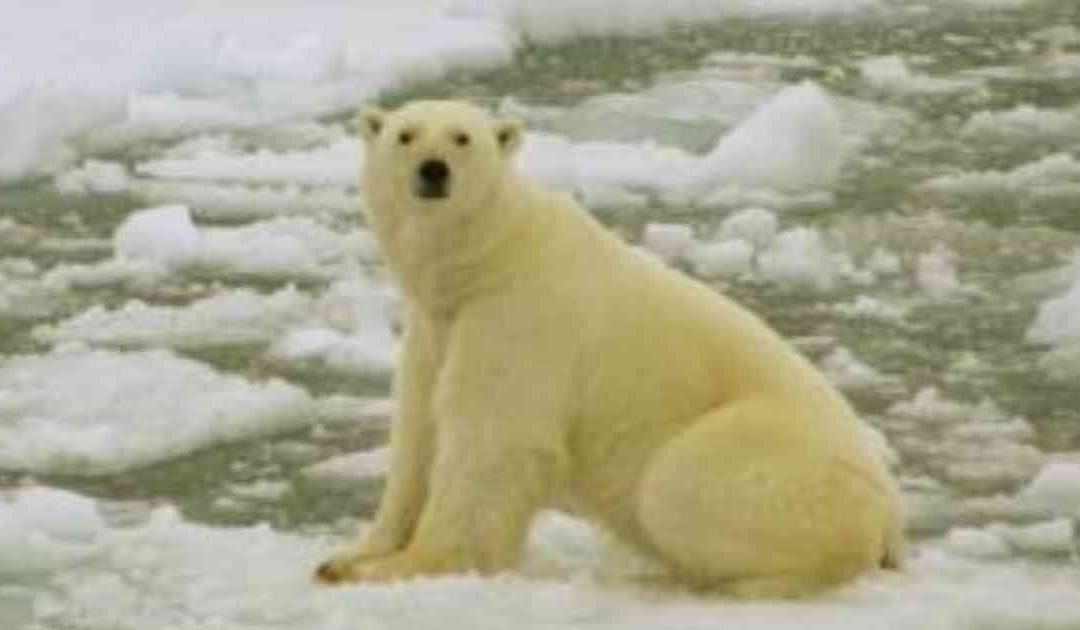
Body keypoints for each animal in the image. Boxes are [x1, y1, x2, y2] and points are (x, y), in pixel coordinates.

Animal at [315, 100, 904, 597]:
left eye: (463, 137)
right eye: (405, 134)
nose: (433, 170)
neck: (489, 259)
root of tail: (891, 516)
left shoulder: (518, 320)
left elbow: (490, 442)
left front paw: (406, 565)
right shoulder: (437, 328)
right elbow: (419, 431)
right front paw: (349, 555)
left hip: (780, 458)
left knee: (677, 482)